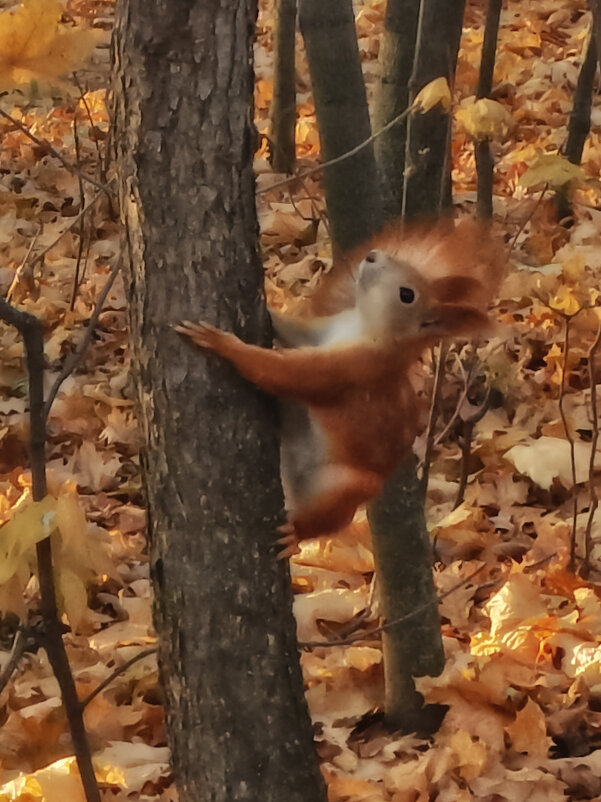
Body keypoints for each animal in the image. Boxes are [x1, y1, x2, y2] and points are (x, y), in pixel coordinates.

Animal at [177, 219, 502, 556]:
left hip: (347, 486)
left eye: (407, 294)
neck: (363, 327)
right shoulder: (319, 333)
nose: (372, 255)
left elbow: (284, 373)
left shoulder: (351, 370)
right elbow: (292, 331)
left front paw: (220, 342)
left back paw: (296, 533)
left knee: (331, 518)